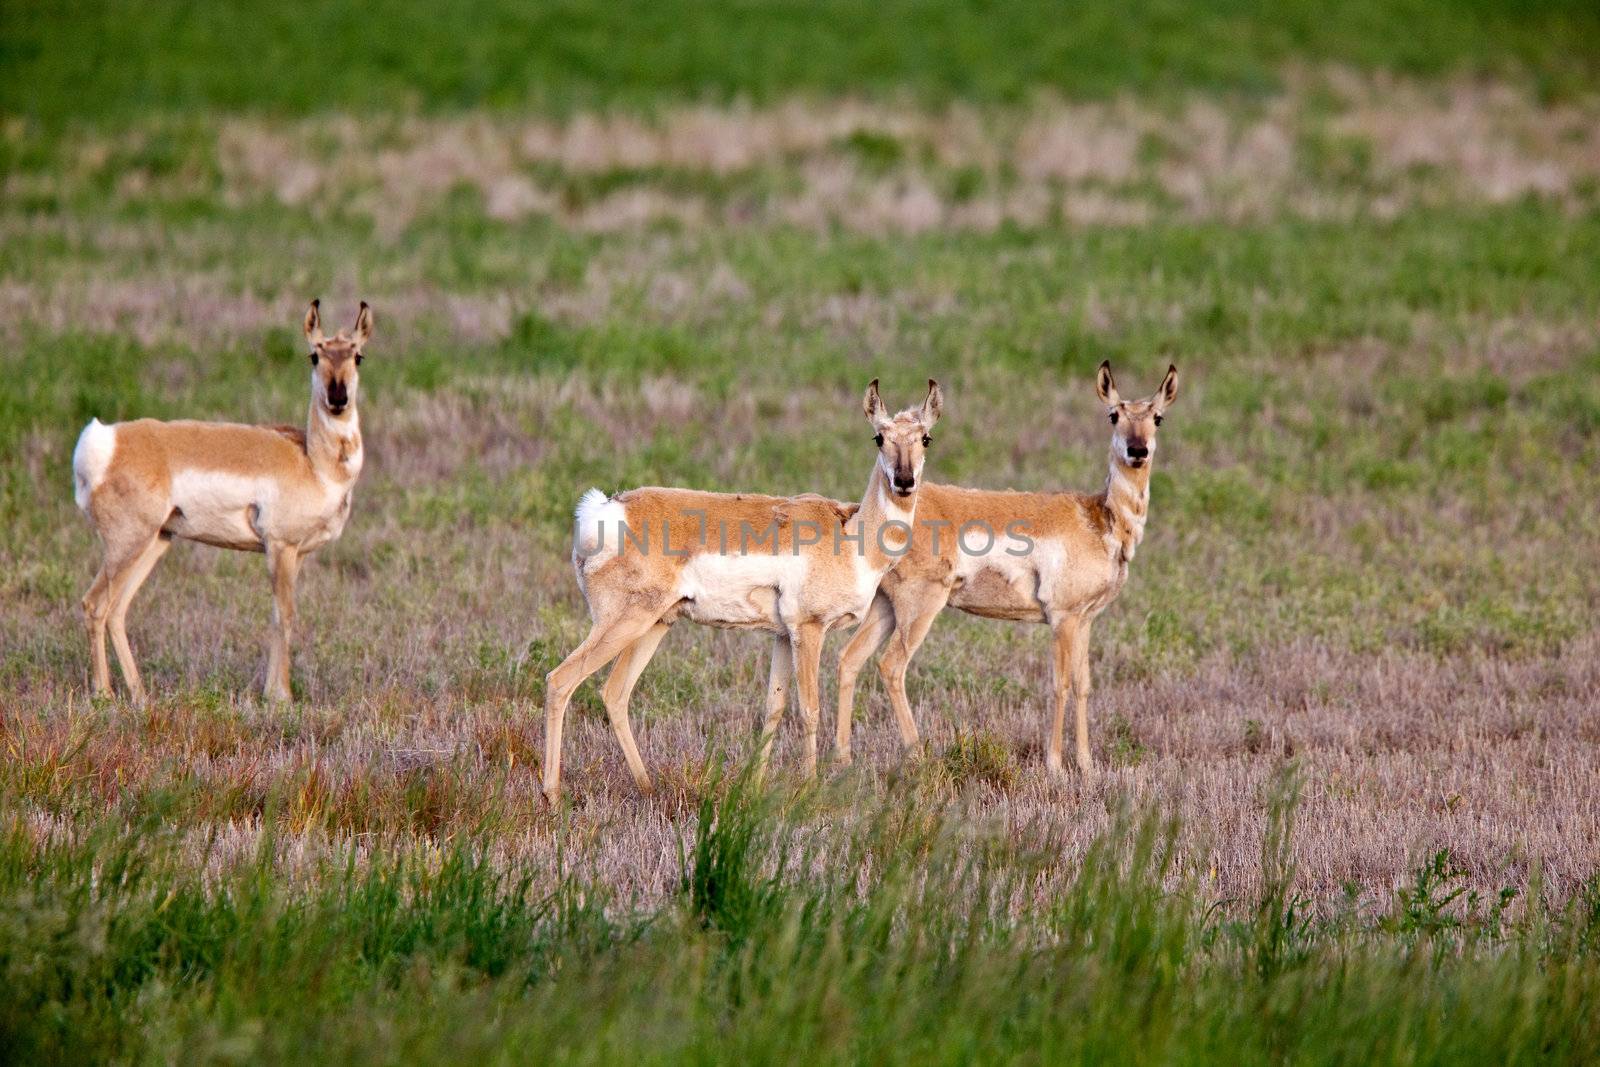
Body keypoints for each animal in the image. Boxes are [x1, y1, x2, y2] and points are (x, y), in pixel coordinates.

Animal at [75, 300, 377, 703]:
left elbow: (278, 615)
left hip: (155, 542)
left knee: (117, 609)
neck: (314, 462)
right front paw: (283, 698)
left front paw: (272, 692)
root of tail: (105, 440)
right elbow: (286, 614)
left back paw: (140, 695)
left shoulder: (295, 554)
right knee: (95, 604)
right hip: (127, 545)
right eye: (315, 355)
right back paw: (105, 695)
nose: (338, 399)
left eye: (357, 356)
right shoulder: (280, 547)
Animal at [544, 379, 940, 796]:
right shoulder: (809, 631)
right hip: (622, 624)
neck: (851, 535)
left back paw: (647, 785)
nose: (904, 481)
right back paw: (552, 794)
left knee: (614, 693)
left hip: (653, 626)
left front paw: (757, 784)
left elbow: (774, 707)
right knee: (560, 681)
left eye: (925, 438)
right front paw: (810, 786)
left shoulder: (783, 636)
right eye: (879, 437)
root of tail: (604, 510)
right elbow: (810, 709)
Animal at [838, 363, 1177, 780]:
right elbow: (1060, 684)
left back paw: (844, 761)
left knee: (849, 659)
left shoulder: (1085, 620)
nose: (1137, 451)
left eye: (1157, 417)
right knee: (891, 666)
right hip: (920, 609)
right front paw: (1055, 767)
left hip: (885, 608)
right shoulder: (1063, 618)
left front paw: (1087, 766)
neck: (1100, 517)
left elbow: (1083, 684)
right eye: (1113, 415)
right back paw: (918, 758)